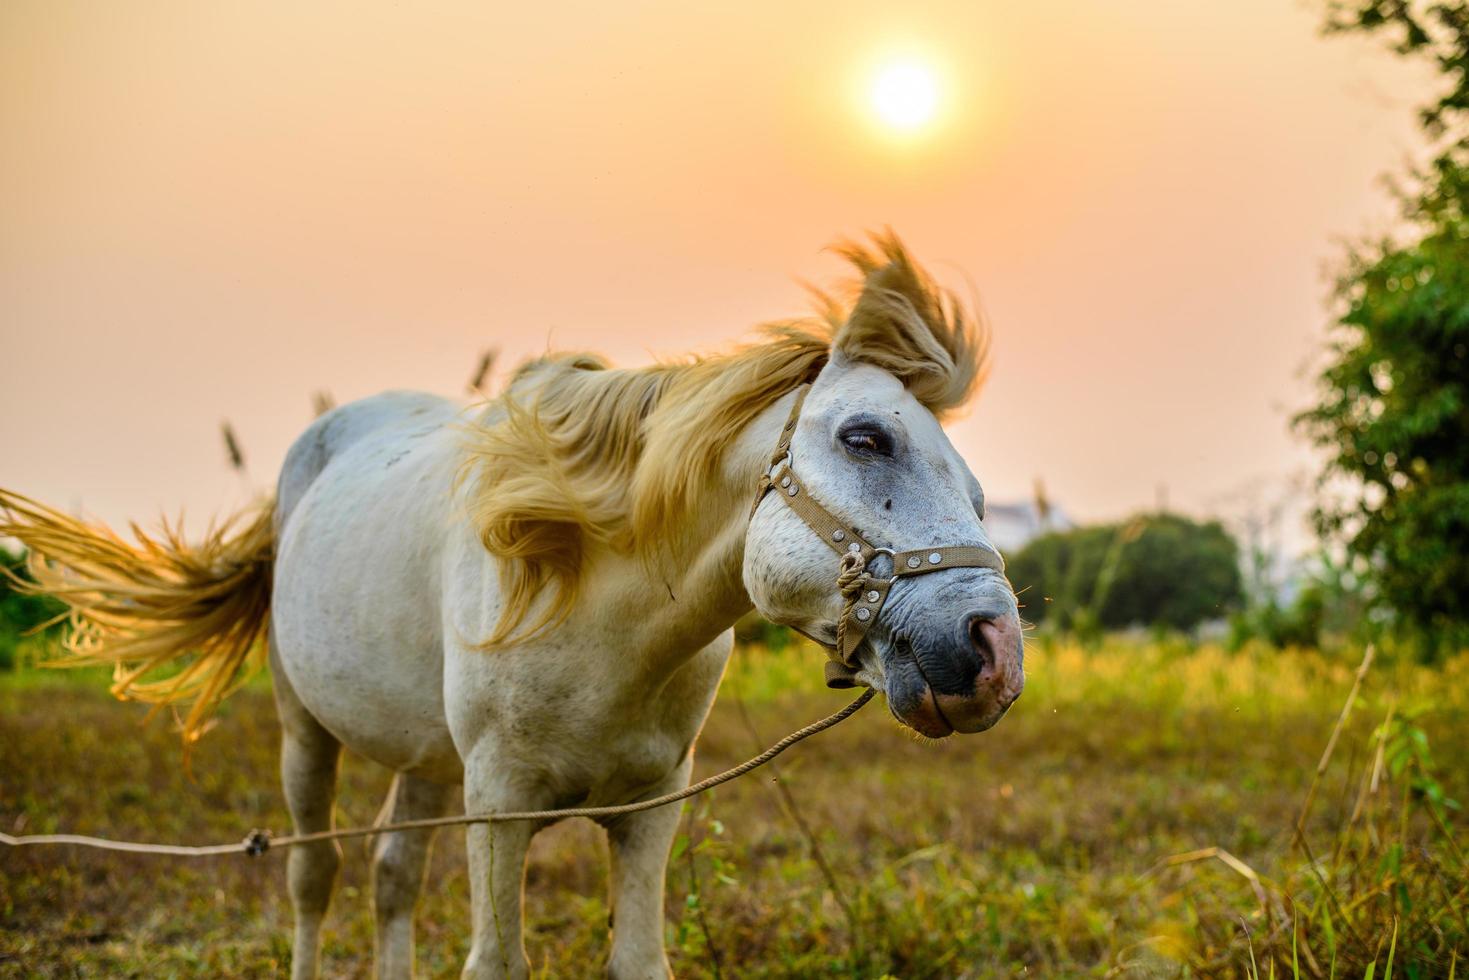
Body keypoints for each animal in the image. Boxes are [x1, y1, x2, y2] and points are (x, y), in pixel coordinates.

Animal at [5, 233, 1022, 975]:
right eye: (865, 438)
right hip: (307, 732)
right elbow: (493, 962)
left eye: (978, 492)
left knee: (391, 873)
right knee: (314, 873)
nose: (992, 650)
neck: (607, 625)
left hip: (423, 758)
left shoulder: (649, 811)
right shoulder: (497, 806)